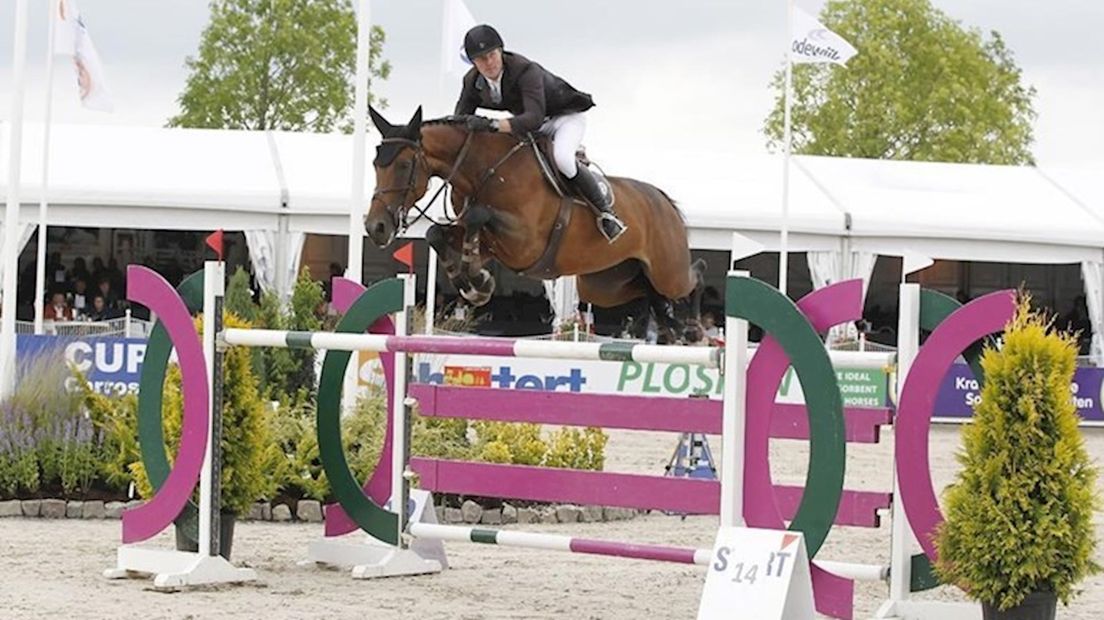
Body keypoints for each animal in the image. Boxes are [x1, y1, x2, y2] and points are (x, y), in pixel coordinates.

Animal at [366, 104, 702, 339]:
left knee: (692, 276)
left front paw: (479, 282)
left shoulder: (525, 243)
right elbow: (437, 233)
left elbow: (478, 215)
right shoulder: (493, 244)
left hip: (668, 271)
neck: (484, 170)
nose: (375, 228)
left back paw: (692, 320)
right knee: (646, 290)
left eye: (404, 164)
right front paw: (475, 284)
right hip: (605, 284)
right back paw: (668, 318)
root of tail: (664, 201)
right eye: (374, 164)